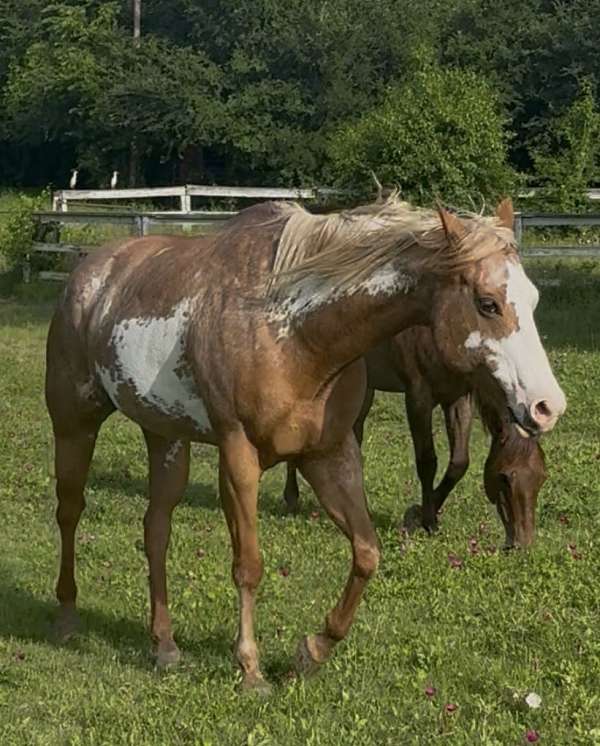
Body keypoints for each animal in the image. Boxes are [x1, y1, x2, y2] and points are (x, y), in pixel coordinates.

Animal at [283, 324, 547, 548]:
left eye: (541, 478)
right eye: (505, 478)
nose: (522, 544)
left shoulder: (458, 397)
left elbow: (459, 463)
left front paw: (420, 513)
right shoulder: (418, 396)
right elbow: (427, 461)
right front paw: (425, 520)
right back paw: (291, 497)